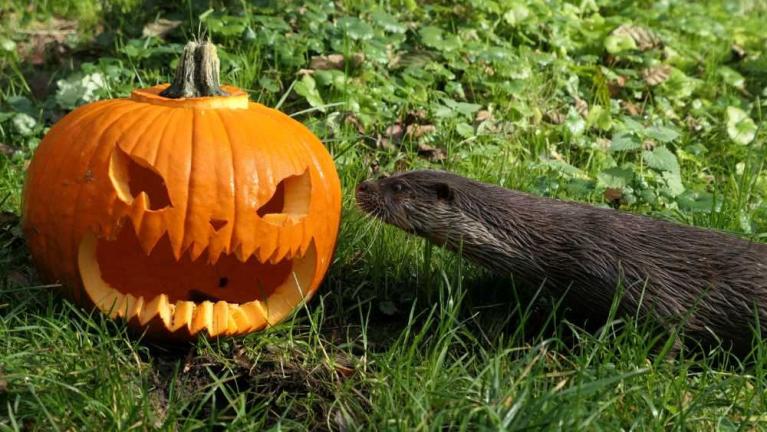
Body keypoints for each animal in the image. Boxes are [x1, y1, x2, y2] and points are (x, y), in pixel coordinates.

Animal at [356, 170, 767, 356]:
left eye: (398, 188)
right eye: (392, 174)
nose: (363, 185)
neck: (554, 244)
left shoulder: (629, 276)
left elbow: (670, 328)